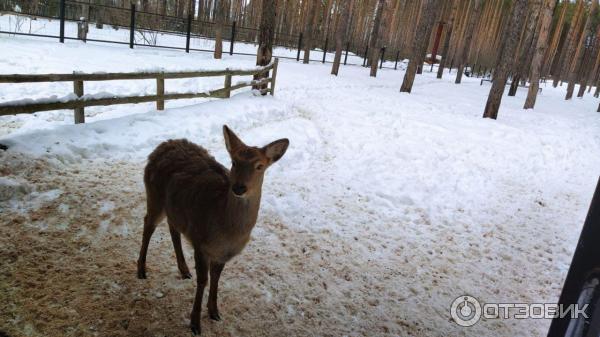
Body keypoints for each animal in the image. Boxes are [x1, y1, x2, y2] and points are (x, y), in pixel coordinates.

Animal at [139, 125, 290, 334]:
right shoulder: (200, 242)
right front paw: (195, 324)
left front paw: (214, 312)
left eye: (259, 166)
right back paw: (141, 270)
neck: (226, 233)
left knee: (172, 228)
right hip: (154, 195)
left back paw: (184, 270)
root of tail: (161, 146)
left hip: (174, 209)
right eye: (234, 162)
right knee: (148, 224)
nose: (239, 188)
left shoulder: (222, 254)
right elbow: (203, 280)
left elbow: (216, 278)